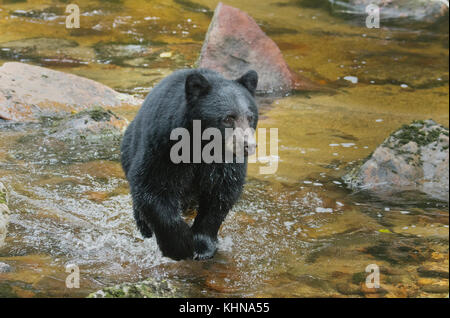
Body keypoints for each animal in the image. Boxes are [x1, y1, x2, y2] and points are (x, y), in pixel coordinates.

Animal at [121, 68, 258, 260]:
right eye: (228, 119)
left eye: (250, 117)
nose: (248, 145)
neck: (201, 146)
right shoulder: (163, 147)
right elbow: (153, 188)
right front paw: (179, 246)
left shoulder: (226, 163)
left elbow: (221, 194)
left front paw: (203, 246)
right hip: (130, 148)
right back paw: (145, 228)